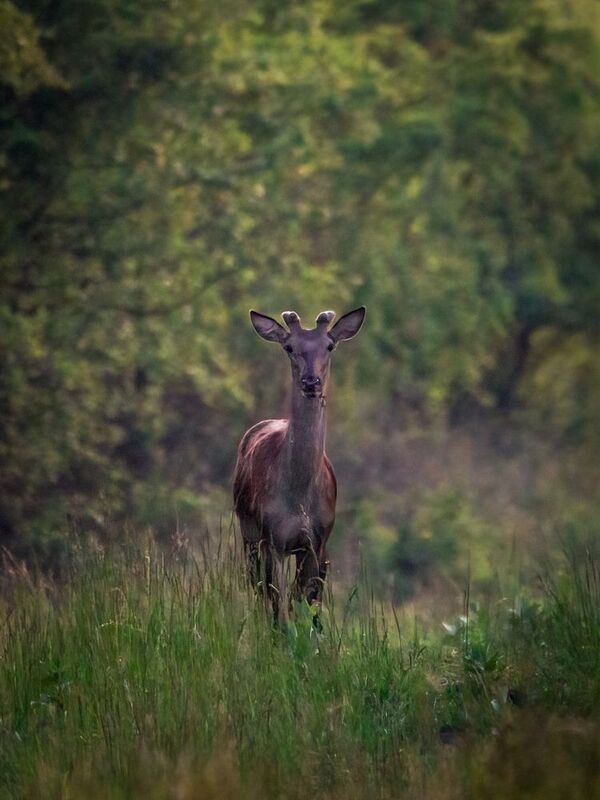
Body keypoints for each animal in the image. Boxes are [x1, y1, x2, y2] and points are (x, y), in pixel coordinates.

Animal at [233, 306, 366, 627]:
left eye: (329, 346)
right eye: (289, 347)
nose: (310, 382)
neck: (298, 498)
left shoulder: (317, 541)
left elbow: (308, 605)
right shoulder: (271, 537)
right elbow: (278, 605)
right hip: (248, 531)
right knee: (258, 587)